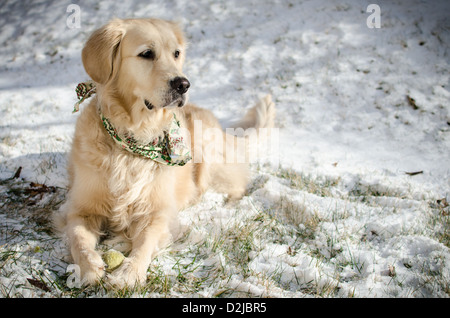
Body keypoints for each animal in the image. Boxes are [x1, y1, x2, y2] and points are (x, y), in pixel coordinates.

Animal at [54, 18, 276, 290]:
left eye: (176, 54)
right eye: (146, 54)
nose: (183, 84)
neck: (133, 139)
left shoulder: (157, 213)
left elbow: (145, 243)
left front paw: (129, 273)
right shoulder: (80, 209)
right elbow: (78, 238)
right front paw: (86, 267)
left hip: (208, 152)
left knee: (235, 185)